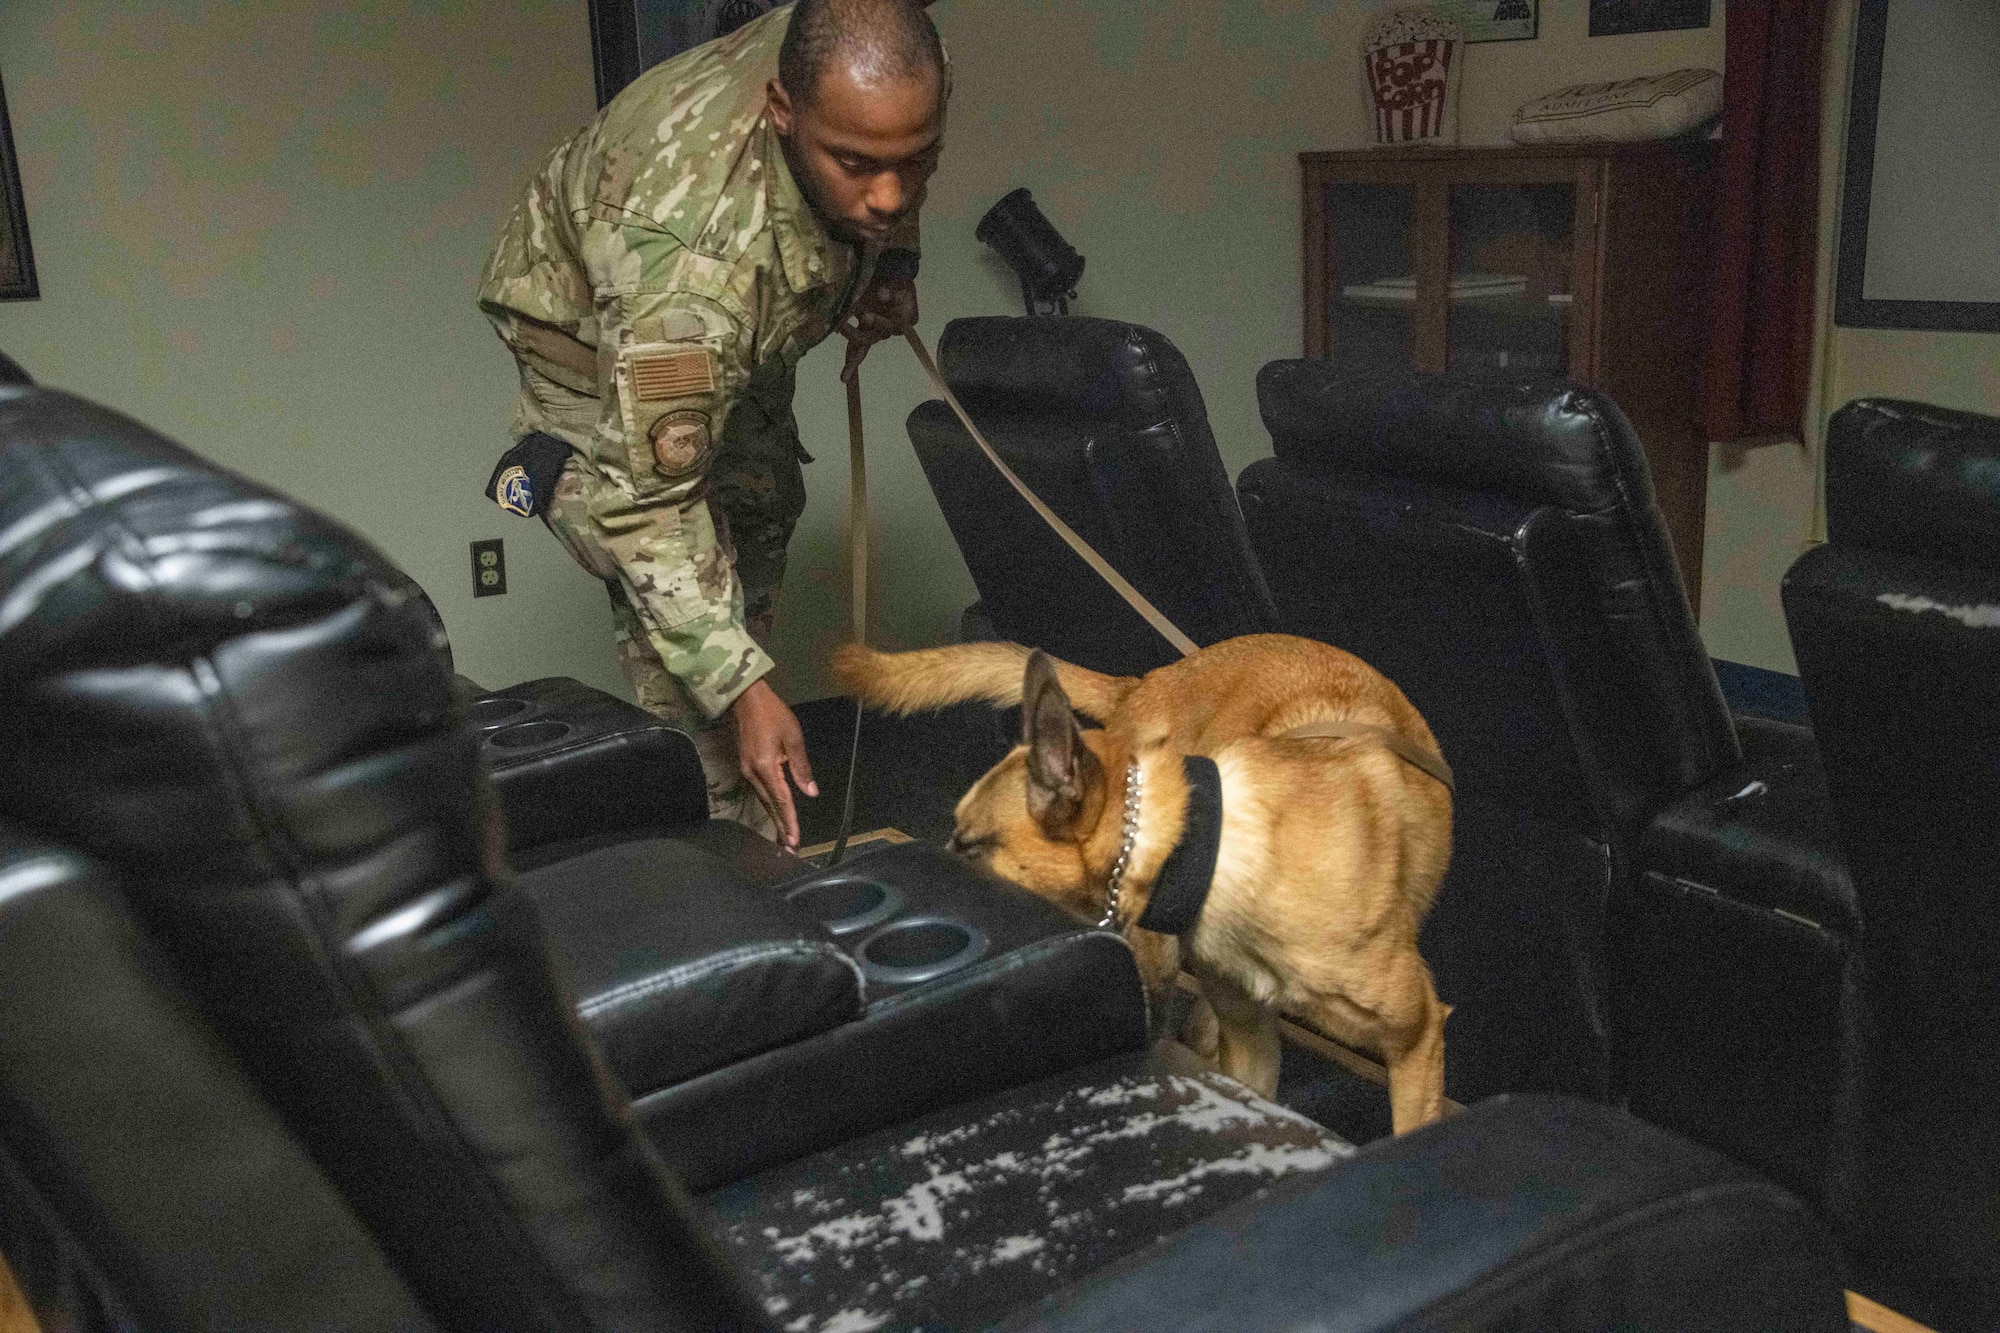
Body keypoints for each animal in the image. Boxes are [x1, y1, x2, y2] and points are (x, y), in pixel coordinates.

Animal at [828, 628, 1456, 1128]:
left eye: (970, 847)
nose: (919, 871)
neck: (1216, 846)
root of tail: (1144, 682)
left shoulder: (1416, 1041)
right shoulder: (1252, 1039)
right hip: (1163, 965)